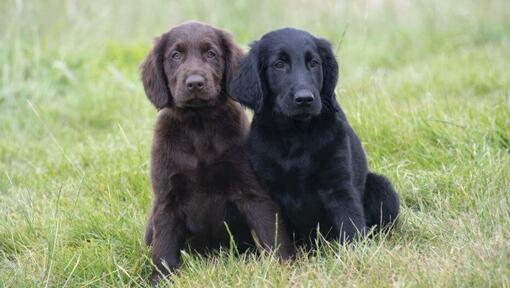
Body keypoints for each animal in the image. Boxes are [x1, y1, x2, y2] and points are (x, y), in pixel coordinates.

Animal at [140, 22, 290, 284]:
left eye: (211, 54)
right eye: (175, 55)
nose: (195, 83)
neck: (198, 126)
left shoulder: (252, 191)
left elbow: (270, 232)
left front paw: (282, 269)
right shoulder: (167, 199)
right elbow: (164, 249)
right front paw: (160, 280)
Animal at [229, 28, 400, 244]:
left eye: (314, 63)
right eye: (279, 65)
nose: (305, 99)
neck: (296, 134)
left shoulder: (339, 187)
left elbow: (350, 226)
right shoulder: (268, 191)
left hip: (382, 188)